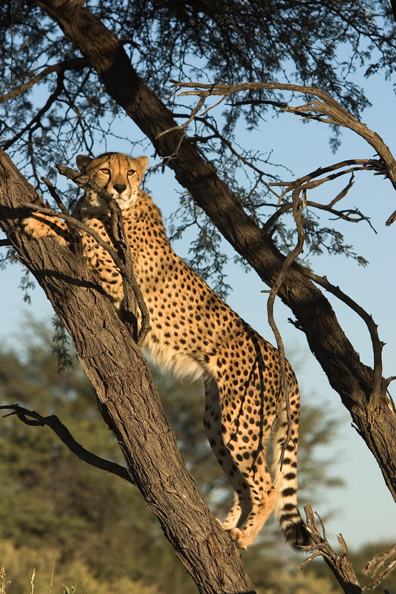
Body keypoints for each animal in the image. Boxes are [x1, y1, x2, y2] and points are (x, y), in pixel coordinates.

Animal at [22, 150, 312, 548]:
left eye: (130, 172)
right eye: (104, 170)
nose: (119, 187)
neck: (106, 207)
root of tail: (283, 360)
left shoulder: (119, 275)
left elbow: (85, 234)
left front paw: (41, 220)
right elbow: (80, 226)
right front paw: (45, 219)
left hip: (241, 426)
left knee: (266, 487)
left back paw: (242, 537)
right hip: (217, 422)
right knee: (244, 484)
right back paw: (226, 527)